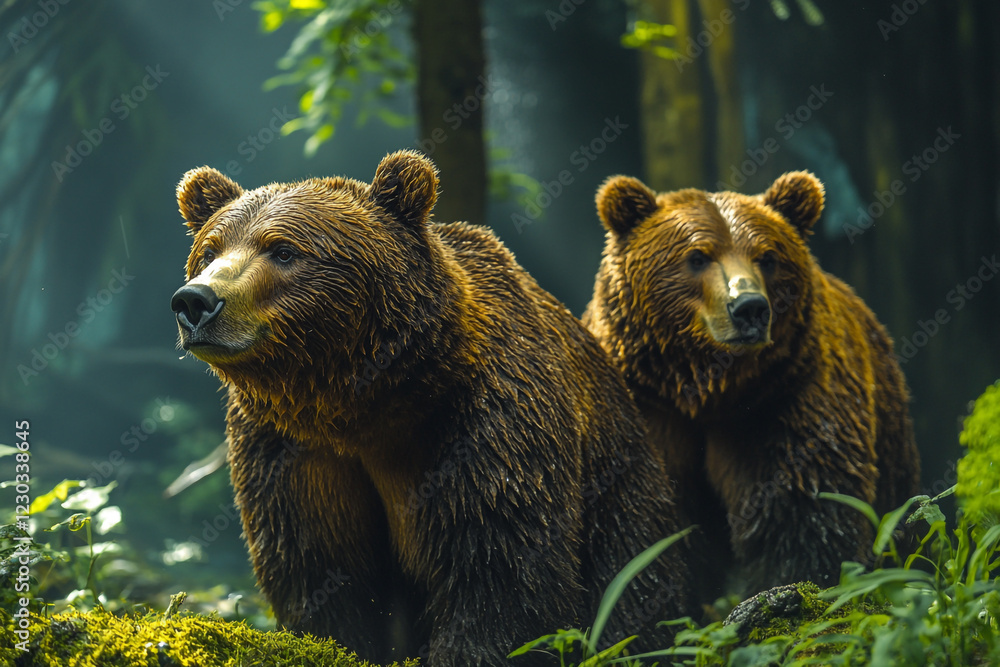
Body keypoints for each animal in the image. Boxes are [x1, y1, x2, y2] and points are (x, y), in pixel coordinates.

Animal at [170, 151, 692, 666]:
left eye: (283, 250)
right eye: (209, 251)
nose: (196, 300)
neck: (366, 402)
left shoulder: (484, 422)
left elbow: (500, 569)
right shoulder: (289, 446)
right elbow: (318, 569)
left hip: (619, 486)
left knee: (634, 580)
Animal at [581, 171, 921, 599]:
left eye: (768, 257)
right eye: (697, 257)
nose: (749, 308)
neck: (708, 391)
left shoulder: (782, 402)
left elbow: (801, 509)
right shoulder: (651, 408)